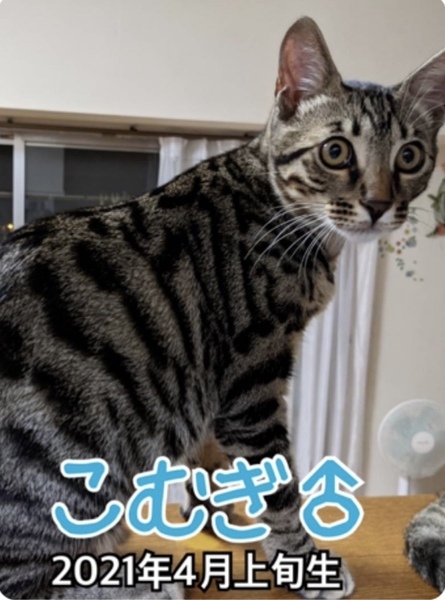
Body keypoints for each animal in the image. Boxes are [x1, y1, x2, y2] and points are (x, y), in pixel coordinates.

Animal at [0, 15, 444, 600]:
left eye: (410, 156)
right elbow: (278, 486)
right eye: (336, 152)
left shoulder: (214, 392)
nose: (378, 204)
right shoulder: (251, 381)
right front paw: (304, 562)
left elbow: (212, 465)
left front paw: (224, 525)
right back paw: (134, 583)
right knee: (26, 579)